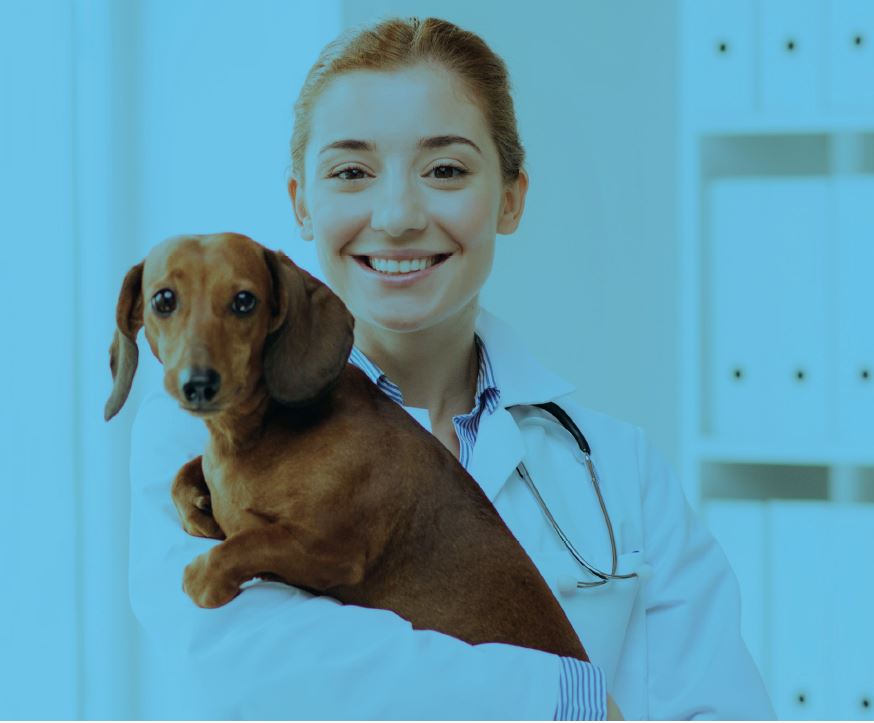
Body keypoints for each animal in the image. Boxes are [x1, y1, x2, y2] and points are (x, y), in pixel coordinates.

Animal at [107, 235, 584, 664]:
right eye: (163, 299)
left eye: (244, 301)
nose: (198, 384)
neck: (262, 435)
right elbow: (184, 477)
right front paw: (198, 507)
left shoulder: (331, 550)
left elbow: (249, 542)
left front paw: (207, 576)